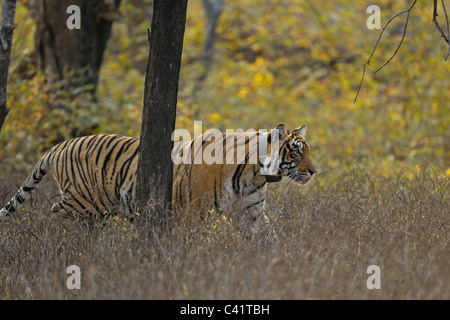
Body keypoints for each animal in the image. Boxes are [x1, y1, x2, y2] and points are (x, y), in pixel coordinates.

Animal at [0, 124, 316, 239]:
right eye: (296, 150)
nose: (314, 171)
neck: (254, 173)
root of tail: (59, 145)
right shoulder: (191, 210)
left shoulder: (250, 213)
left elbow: (269, 238)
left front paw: (280, 266)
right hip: (87, 200)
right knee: (55, 211)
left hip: (97, 208)